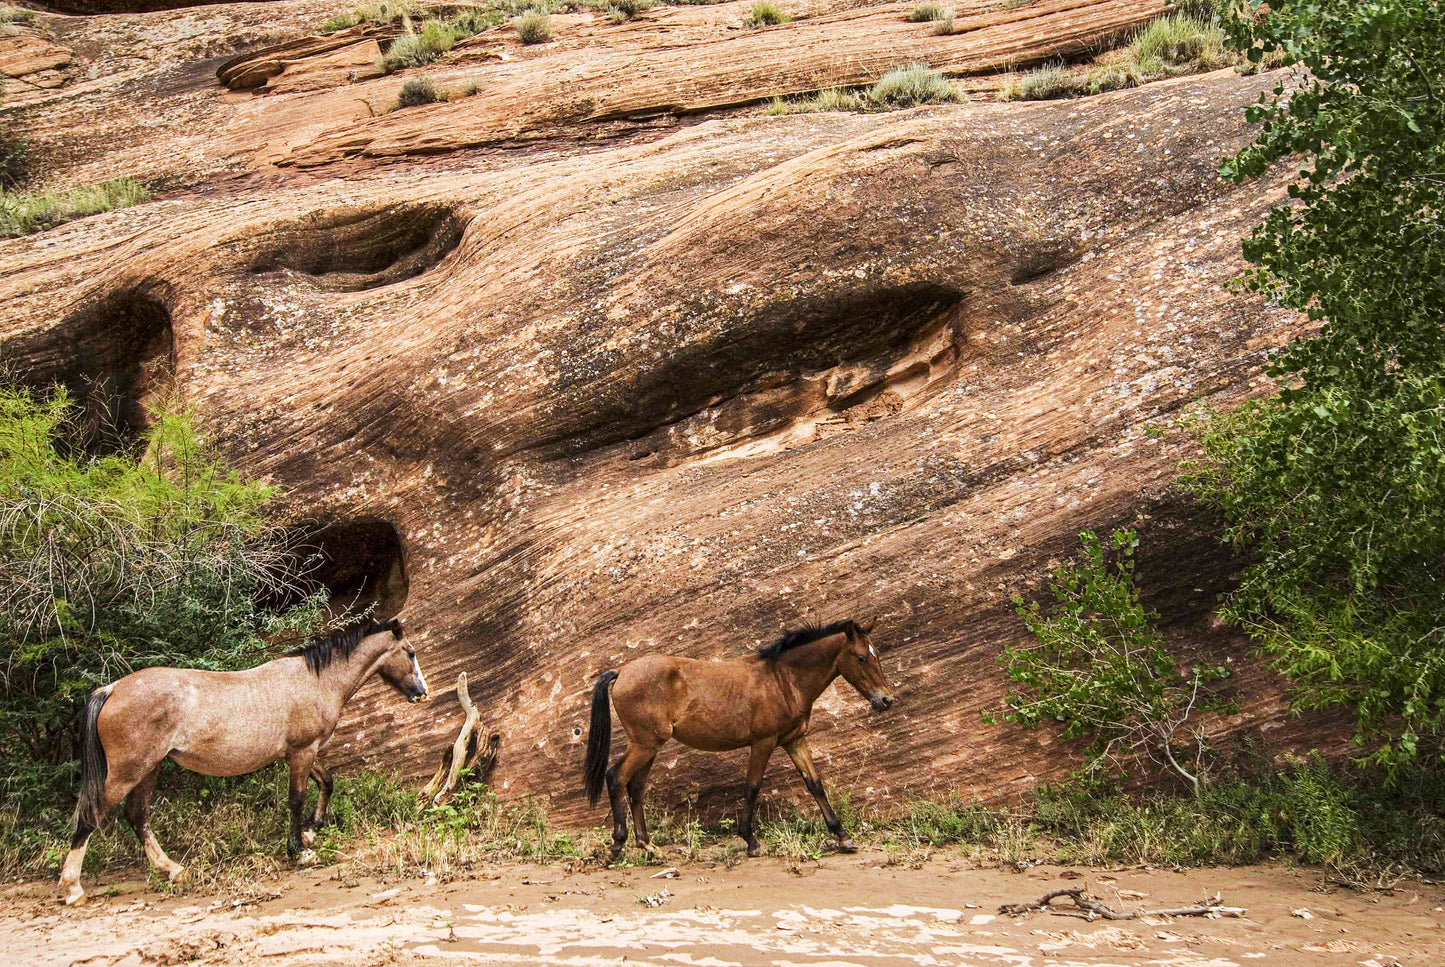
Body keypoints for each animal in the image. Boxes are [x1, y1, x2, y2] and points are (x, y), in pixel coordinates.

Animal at [57, 616, 429, 906]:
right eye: (410, 652)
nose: (421, 693)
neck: (313, 681)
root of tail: (112, 688)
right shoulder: (302, 752)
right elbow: (297, 799)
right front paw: (300, 850)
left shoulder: (303, 752)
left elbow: (326, 782)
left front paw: (311, 830)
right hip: (128, 771)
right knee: (92, 815)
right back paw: (72, 887)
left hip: (149, 769)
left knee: (138, 817)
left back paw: (173, 870)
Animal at [583, 618, 894, 861]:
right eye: (862, 658)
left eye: (877, 655)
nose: (886, 700)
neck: (782, 680)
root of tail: (622, 672)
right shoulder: (764, 742)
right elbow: (752, 787)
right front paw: (750, 841)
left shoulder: (794, 740)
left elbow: (815, 785)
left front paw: (842, 836)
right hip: (645, 744)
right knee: (616, 778)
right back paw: (617, 845)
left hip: (649, 746)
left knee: (635, 787)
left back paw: (647, 846)